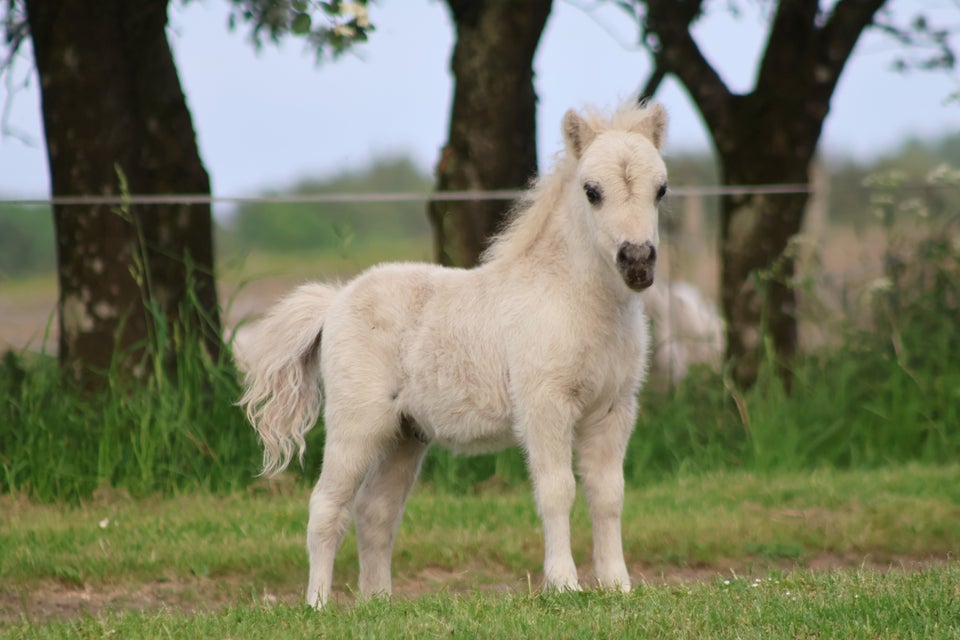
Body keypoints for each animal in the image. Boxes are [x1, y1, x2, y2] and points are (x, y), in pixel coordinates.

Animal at [240, 101, 668, 608]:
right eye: (592, 191)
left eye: (661, 189)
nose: (637, 261)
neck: (571, 299)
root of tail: (334, 301)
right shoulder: (545, 405)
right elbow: (557, 490)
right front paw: (564, 584)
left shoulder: (613, 410)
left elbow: (608, 494)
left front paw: (617, 585)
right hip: (357, 424)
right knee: (328, 507)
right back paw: (319, 605)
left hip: (405, 435)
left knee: (375, 511)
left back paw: (377, 602)